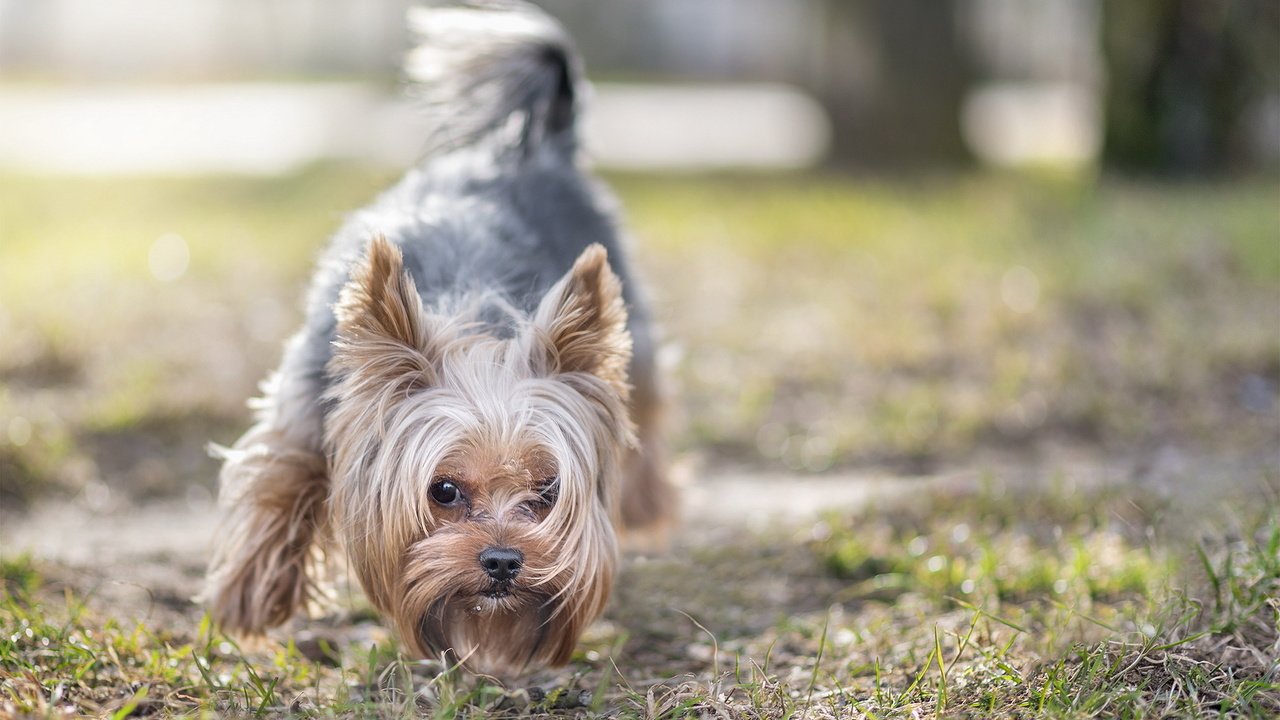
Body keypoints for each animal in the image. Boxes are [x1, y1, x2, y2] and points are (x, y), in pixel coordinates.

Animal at [202, 1, 670, 671]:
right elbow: (281, 476)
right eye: (443, 490)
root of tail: (534, 149)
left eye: (548, 490)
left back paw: (648, 503)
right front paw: (251, 596)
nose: (503, 560)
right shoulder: (309, 395)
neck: (471, 322)